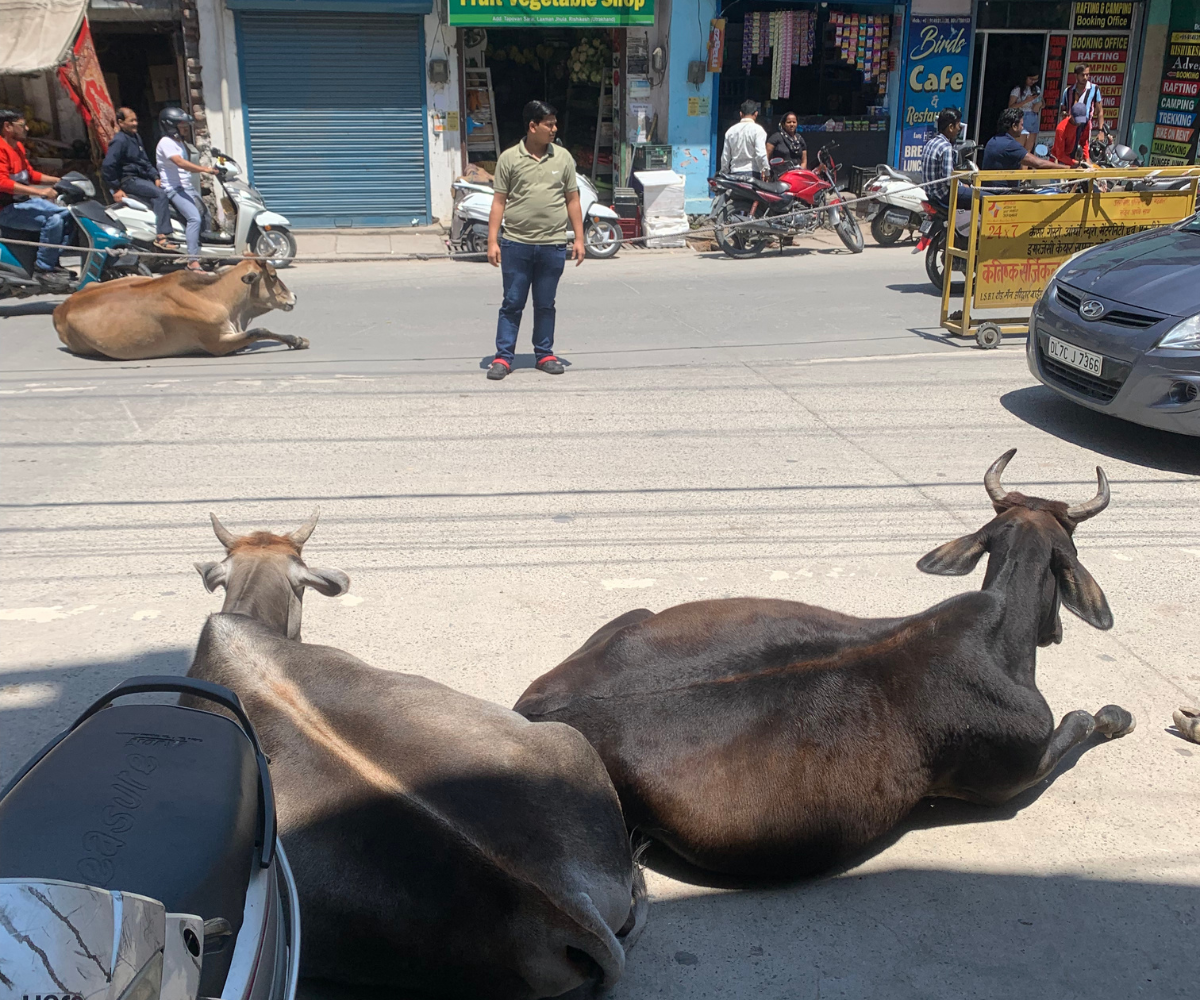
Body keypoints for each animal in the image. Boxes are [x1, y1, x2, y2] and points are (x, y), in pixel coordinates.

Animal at [53, 258, 306, 360]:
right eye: (272, 275)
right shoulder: (218, 344)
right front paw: (297, 340)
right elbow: (259, 331)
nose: (294, 296)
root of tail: (61, 308)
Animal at [514, 450, 1136, 879]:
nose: (1054, 631)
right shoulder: (1014, 775)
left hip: (636, 615)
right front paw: (1117, 716)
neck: (1000, 631)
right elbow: (1084, 719)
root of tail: (534, 710)